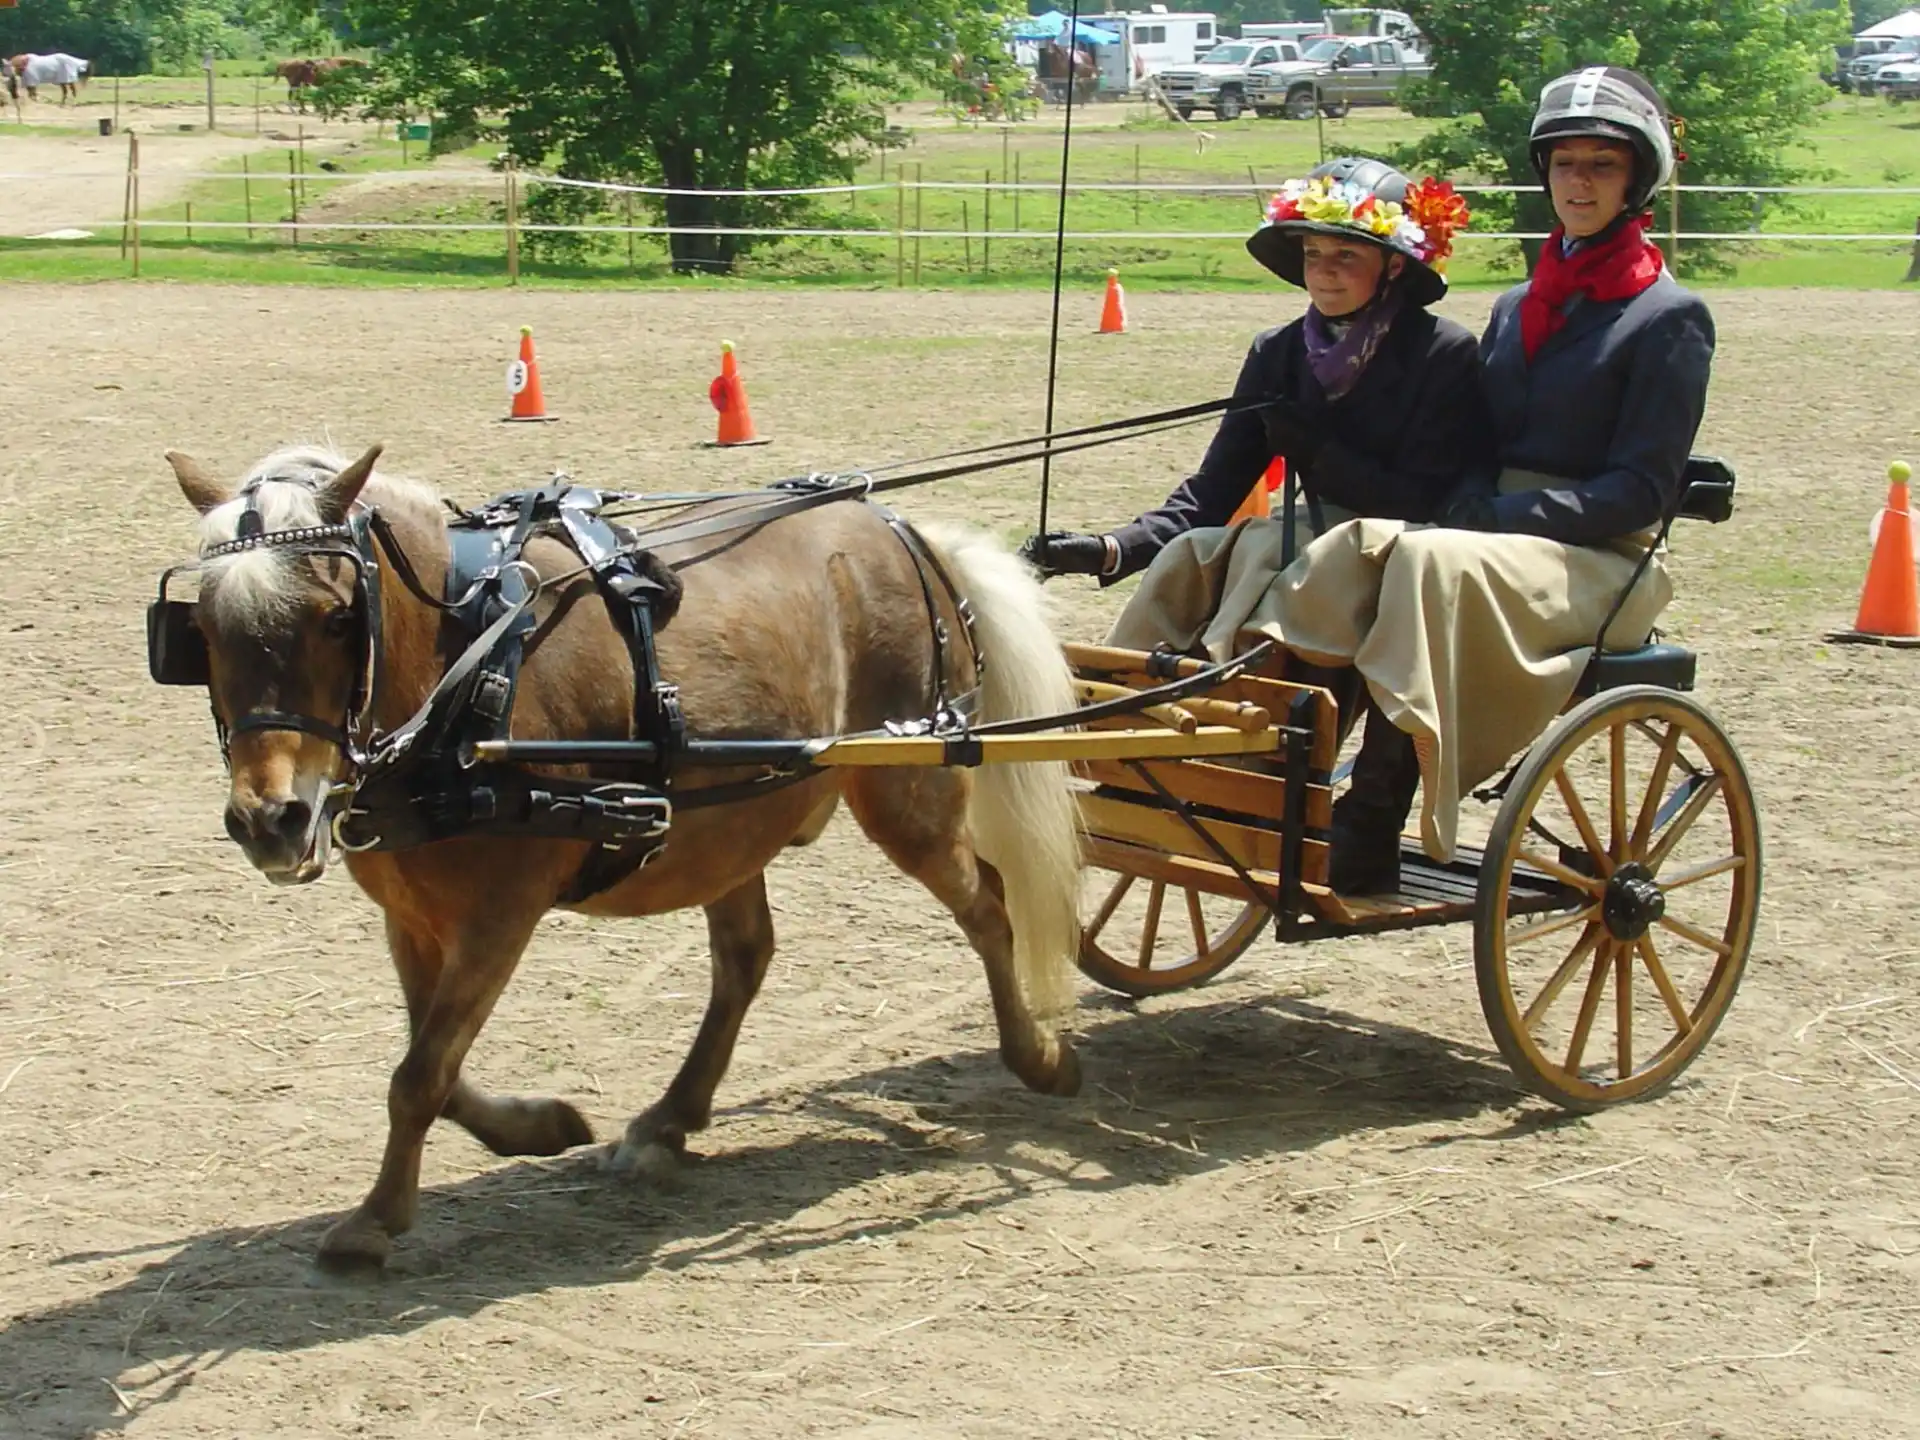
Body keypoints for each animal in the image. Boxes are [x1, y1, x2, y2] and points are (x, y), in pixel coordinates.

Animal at [159, 443, 1085, 1279]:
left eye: (336, 617)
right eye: (197, 630)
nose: (270, 820)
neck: (467, 666)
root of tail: (903, 530)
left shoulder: (500, 915)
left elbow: (420, 1073)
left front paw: (374, 1220)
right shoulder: (412, 918)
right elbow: (434, 1065)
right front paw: (535, 1128)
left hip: (908, 797)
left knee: (988, 905)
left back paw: (1039, 1056)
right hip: (729, 825)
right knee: (745, 957)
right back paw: (671, 1120)